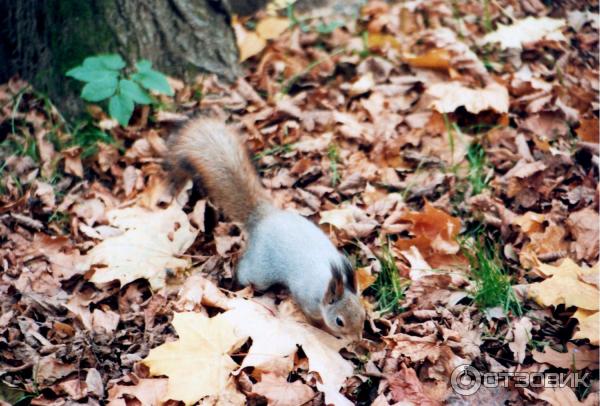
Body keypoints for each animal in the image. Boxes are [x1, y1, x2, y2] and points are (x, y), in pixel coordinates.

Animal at [166, 117, 368, 340]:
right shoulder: (307, 300)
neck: (327, 285)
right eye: (339, 321)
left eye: (363, 314)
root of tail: (264, 217)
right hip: (259, 271)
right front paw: (324, 330)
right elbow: (312, 318)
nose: (358, 339)